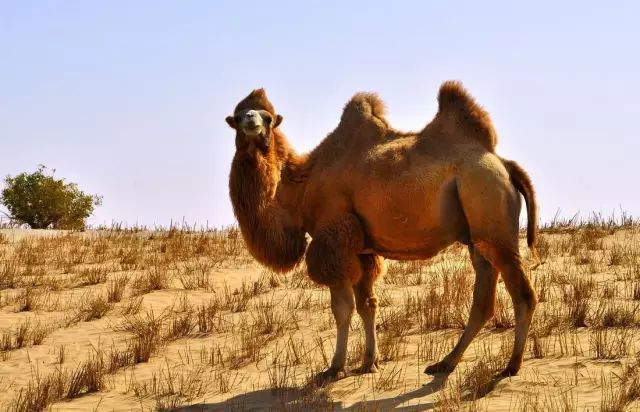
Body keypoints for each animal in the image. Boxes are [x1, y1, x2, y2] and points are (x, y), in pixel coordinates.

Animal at [226, 82, 540, 382]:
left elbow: (342, 309)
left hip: (490, 209)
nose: (251, 120)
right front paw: (369, 363)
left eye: (267, 118)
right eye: (238, 116)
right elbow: (368, 305)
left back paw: (510, 366)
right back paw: (445, 363)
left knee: (522, 293)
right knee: (483, 298)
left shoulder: (334, 239)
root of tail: (504, 165)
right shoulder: (363, 249)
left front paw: (334, 368)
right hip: (478, 235)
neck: (301, 186)